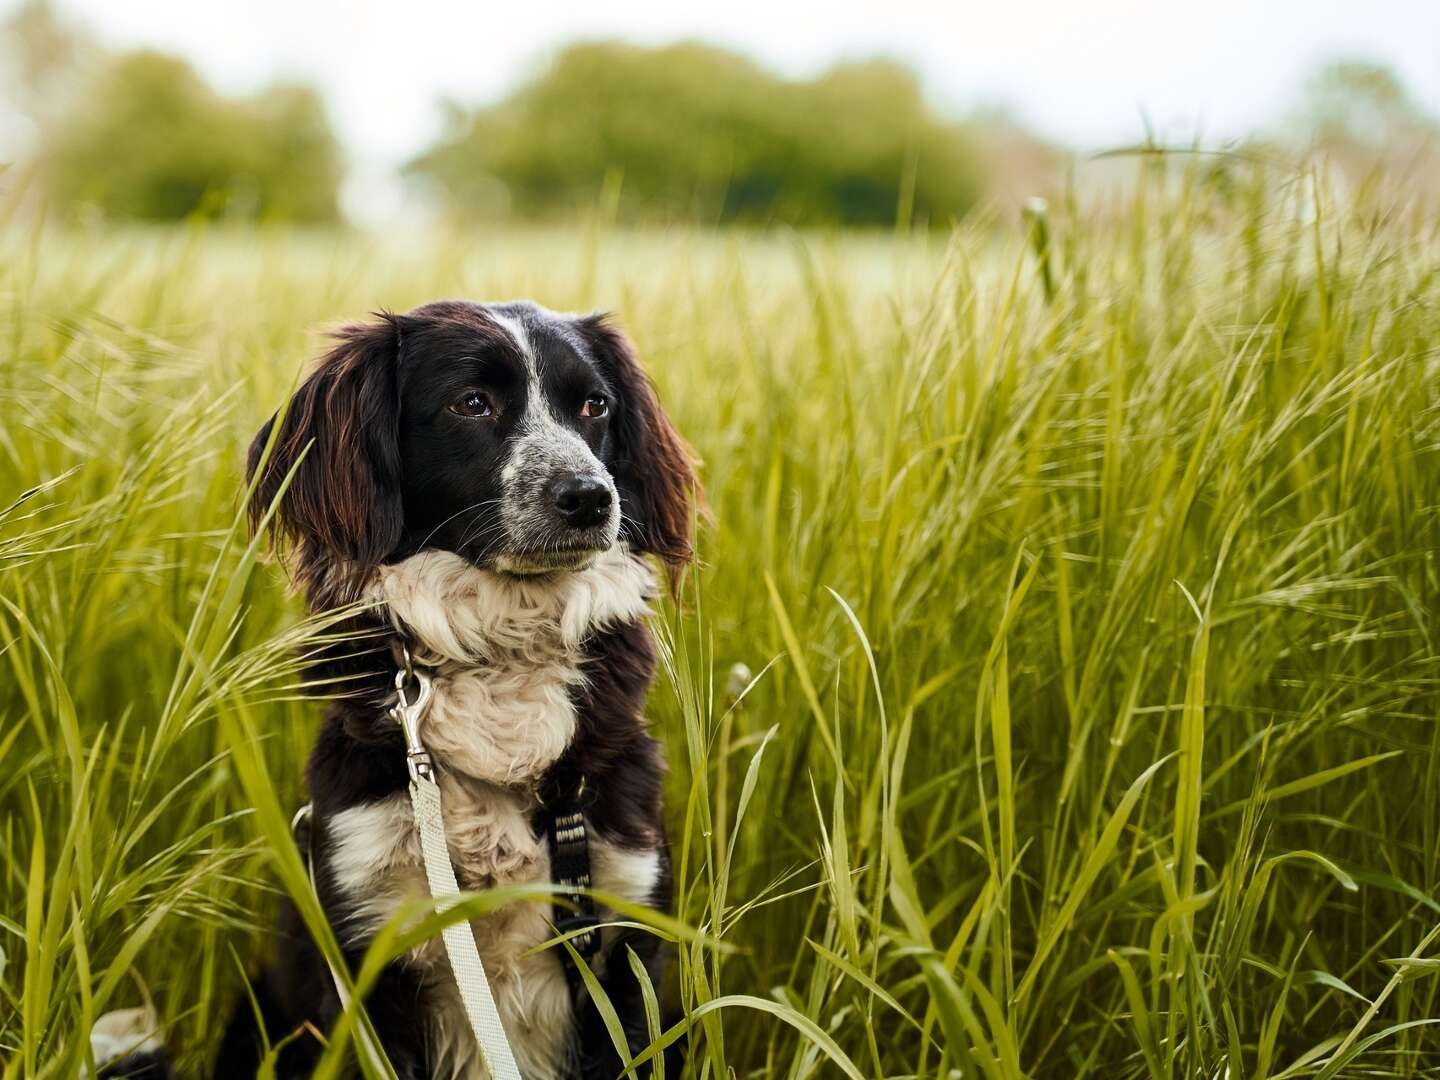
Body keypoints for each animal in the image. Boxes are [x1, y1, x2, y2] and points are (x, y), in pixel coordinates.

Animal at [214, 298, 702, 1080]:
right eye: (471, 403)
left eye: (594, 405)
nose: (592, 498)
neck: (504, 651)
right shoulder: (367, 946)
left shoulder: (624, 933)